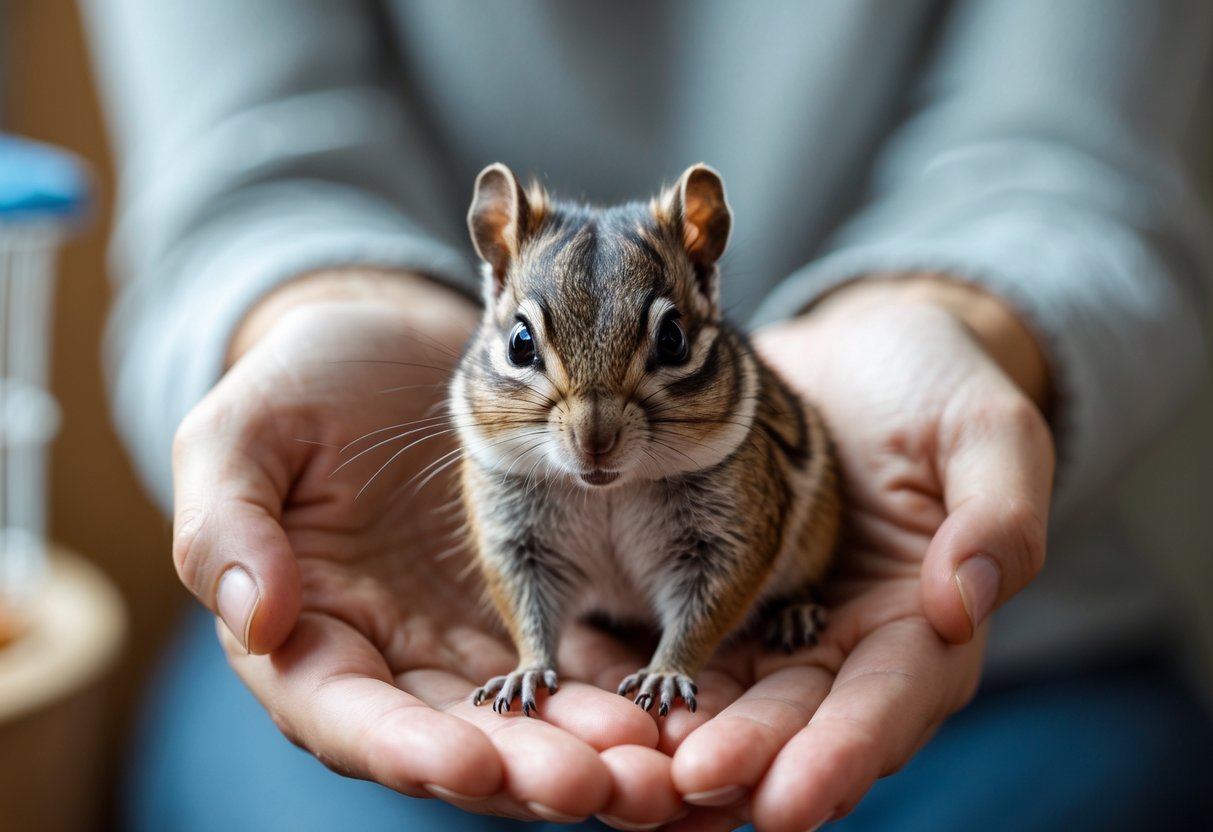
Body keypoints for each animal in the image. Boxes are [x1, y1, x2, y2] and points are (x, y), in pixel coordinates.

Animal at [450, 163, 840, 717]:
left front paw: (665, 673)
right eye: (519, 343)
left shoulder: (729, 538)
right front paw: (526, 670)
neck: (608, 490)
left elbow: (704, 613)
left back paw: (795, 613)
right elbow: (528, 610)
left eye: (673, 339)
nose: (594, 440)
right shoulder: (517, 540)